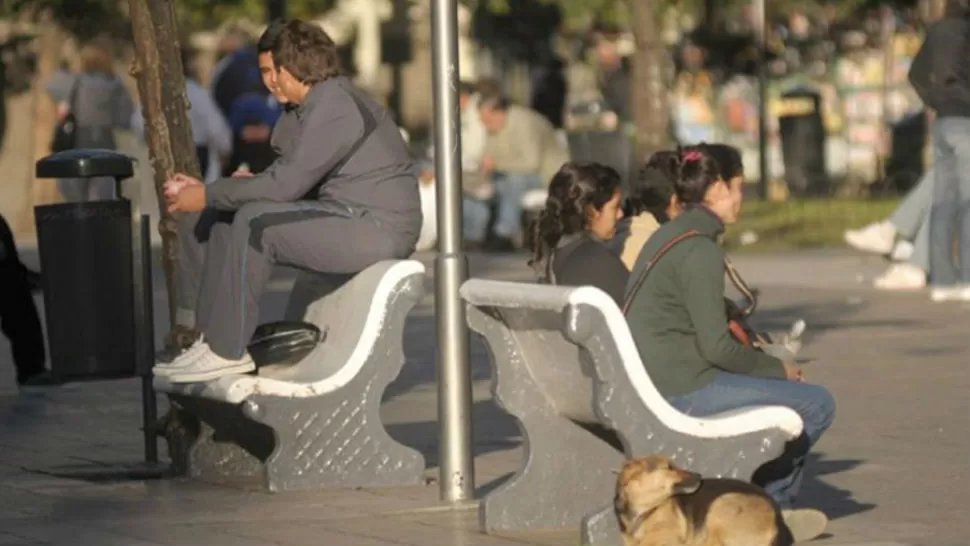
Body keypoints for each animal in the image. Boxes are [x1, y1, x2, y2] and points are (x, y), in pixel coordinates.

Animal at [612, 452, 796, 544]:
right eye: (670, 467)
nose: (699, 476)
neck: (643, 510)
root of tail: (779, 520)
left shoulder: (668, 535)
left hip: (722, 504)